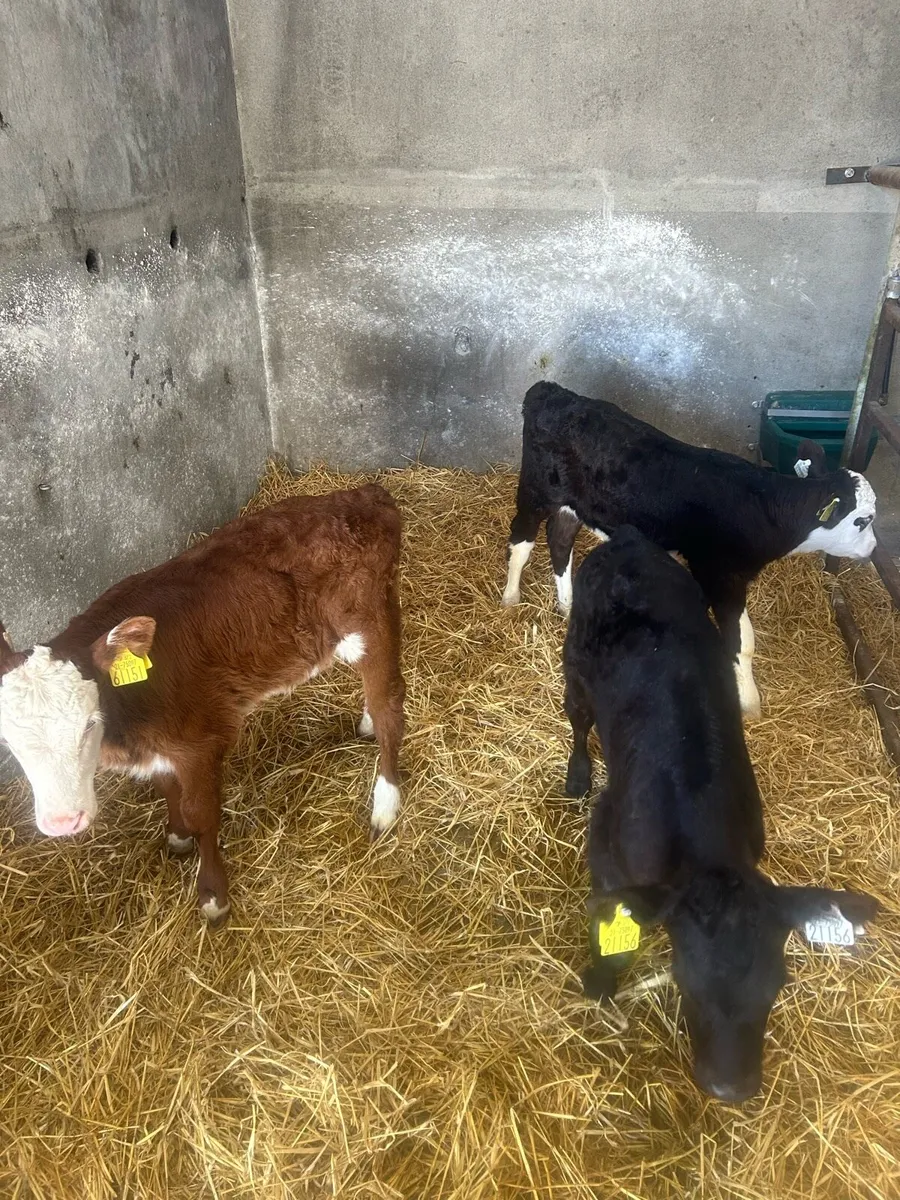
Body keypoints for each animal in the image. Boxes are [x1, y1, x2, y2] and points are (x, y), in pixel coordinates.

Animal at [0, 485, 406, 925]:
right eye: (8, 741)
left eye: (90, 722)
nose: (62, 822)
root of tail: (364, 495)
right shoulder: (159, 748)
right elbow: (165, 787)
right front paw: (176, 836)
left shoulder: (200, 741)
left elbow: (202, 814)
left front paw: (213, 895)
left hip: (370, 623)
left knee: (389, 706)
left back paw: (385, 804)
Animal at [502, 381, 877, 718]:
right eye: (862, 520)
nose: (874, 549)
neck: (763, 507)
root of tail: (551, 390)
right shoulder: (721, 576)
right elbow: (743, 643)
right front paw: (749, 703)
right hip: (536, 490)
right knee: (522, 540)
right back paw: (510, 597)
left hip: (573, 504)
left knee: (560, 540)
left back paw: (566, 605)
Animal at [563, 525, 878, 1102]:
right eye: (687, 981)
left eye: (777, 984)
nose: (730, 1088)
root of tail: (628, 540)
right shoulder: (607, 839)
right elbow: (611, 920)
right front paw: (600, 983)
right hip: (574, 668)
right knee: (577, 721)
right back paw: (576, 775)